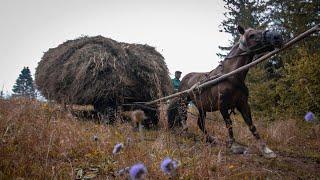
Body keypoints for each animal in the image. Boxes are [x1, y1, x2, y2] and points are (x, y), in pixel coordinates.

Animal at [168, 25, 282, 158]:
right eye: (251, 35)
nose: (277, 36)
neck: (232, 76)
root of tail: (184, 78)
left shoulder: (243, 104)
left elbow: (251, 125)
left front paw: (266, 149)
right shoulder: (223, 106)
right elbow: (229, 124)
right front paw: (233, 145)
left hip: (201, 107)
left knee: (200, 123)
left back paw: (210, 139)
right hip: (183, 101)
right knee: (183, 116)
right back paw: (186, 132)